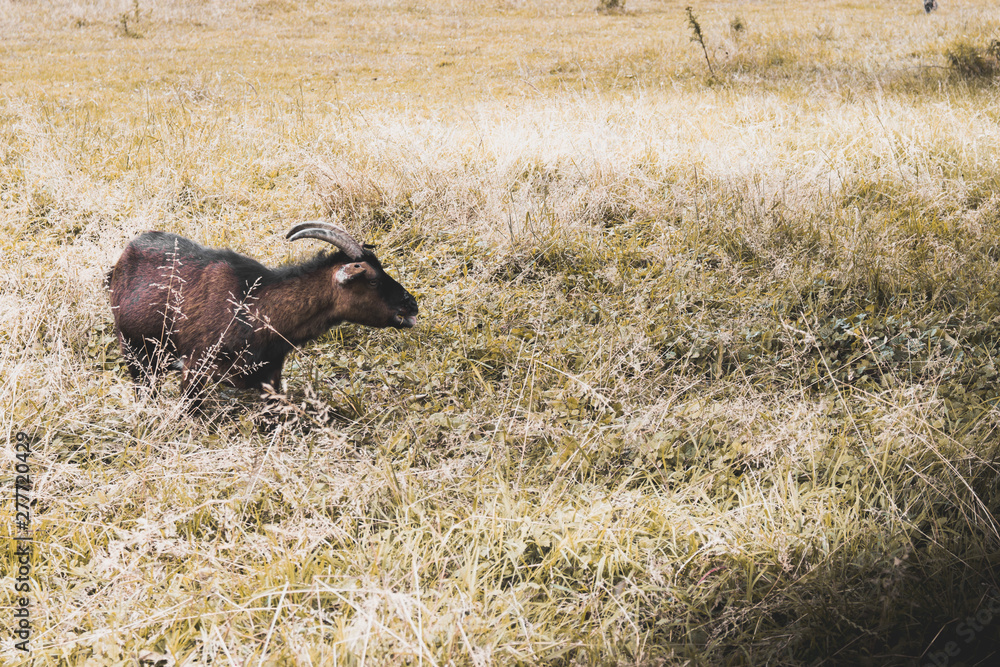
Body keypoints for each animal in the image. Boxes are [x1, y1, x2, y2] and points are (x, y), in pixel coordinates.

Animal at [107, 221, 418, 409]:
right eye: (373, 280)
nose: (411, 305)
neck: (258, 307)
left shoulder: (271, 377)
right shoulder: (196, 366)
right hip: (133, 350)